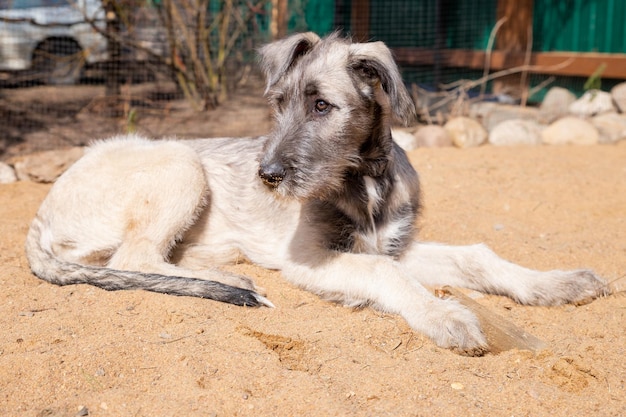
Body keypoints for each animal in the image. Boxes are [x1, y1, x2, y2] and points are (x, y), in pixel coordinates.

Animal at [24, 31, 604, 354]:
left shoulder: (395, 244)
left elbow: (477, 256)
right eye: (278, 103)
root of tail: (42, 212)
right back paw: (230, 279)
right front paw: (443, 315)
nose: (266, 176)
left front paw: (555, 283)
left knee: (141, 258)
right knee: (133, 258)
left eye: (322, 106)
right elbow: (383, 274)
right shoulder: (310, 256)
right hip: (179, 162)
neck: (364, 182)